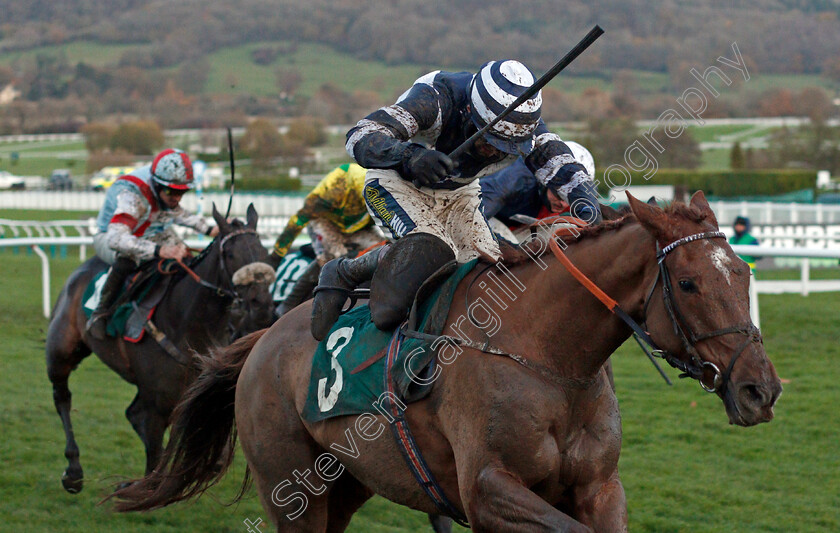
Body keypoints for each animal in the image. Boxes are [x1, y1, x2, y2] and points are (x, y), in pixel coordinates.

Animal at [45, 203, 276, 490]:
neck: (188, 323)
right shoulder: (157, 402)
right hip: (62, 350)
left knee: (131, 413)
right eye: (231, 254)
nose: (262, 306)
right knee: (62, 397)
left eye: (264, 252)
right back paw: (73, 471)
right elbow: (154, 453)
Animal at [111, 192, 780, 532]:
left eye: (744, 273)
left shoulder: (599, 488)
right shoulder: (487, 491)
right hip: (289, 487)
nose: (760, 389)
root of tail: (263, 340)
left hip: (346, 483)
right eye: (689, 283)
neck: (549, 358)